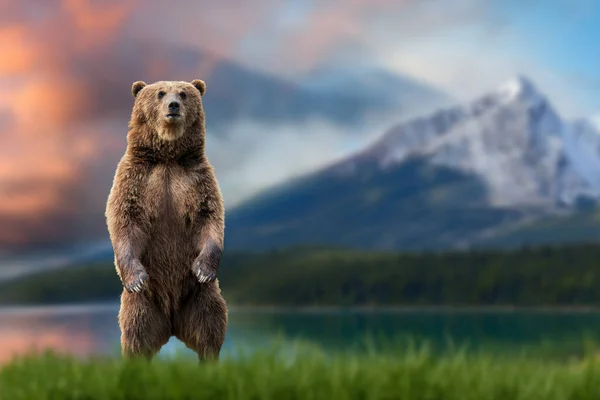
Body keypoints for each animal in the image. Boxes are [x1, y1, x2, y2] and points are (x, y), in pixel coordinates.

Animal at [105, 77, 227, 360]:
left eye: (183, 93)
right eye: (160, 93)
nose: (173, 105)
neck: (168, 157)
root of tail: (172, 325)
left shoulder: (197, 179)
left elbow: (209, 217)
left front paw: (203, 269)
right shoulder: (135, 179)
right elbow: (125, 220)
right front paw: (136, 278)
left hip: (199, 297)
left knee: (210, 326)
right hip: (144, 304)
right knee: (136, 332)